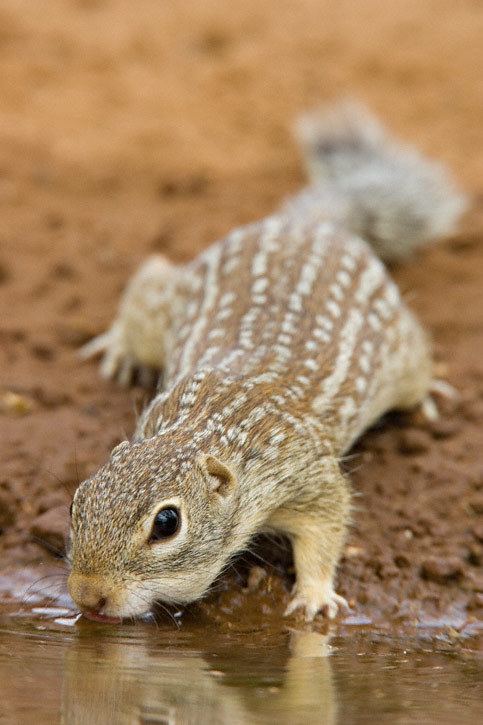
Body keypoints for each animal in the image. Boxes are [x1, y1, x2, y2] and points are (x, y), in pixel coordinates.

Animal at [66, 102, 466, 624]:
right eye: (77, 500)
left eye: (167, 523)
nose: (88, 595)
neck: (215, 427)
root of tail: (312, 221)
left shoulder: (309, 474)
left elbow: (327, 525)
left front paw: (314, 595)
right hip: (172, 304)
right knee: (152, 278)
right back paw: (119, 345)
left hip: (401, 354)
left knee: (418, 358)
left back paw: (428, 392)